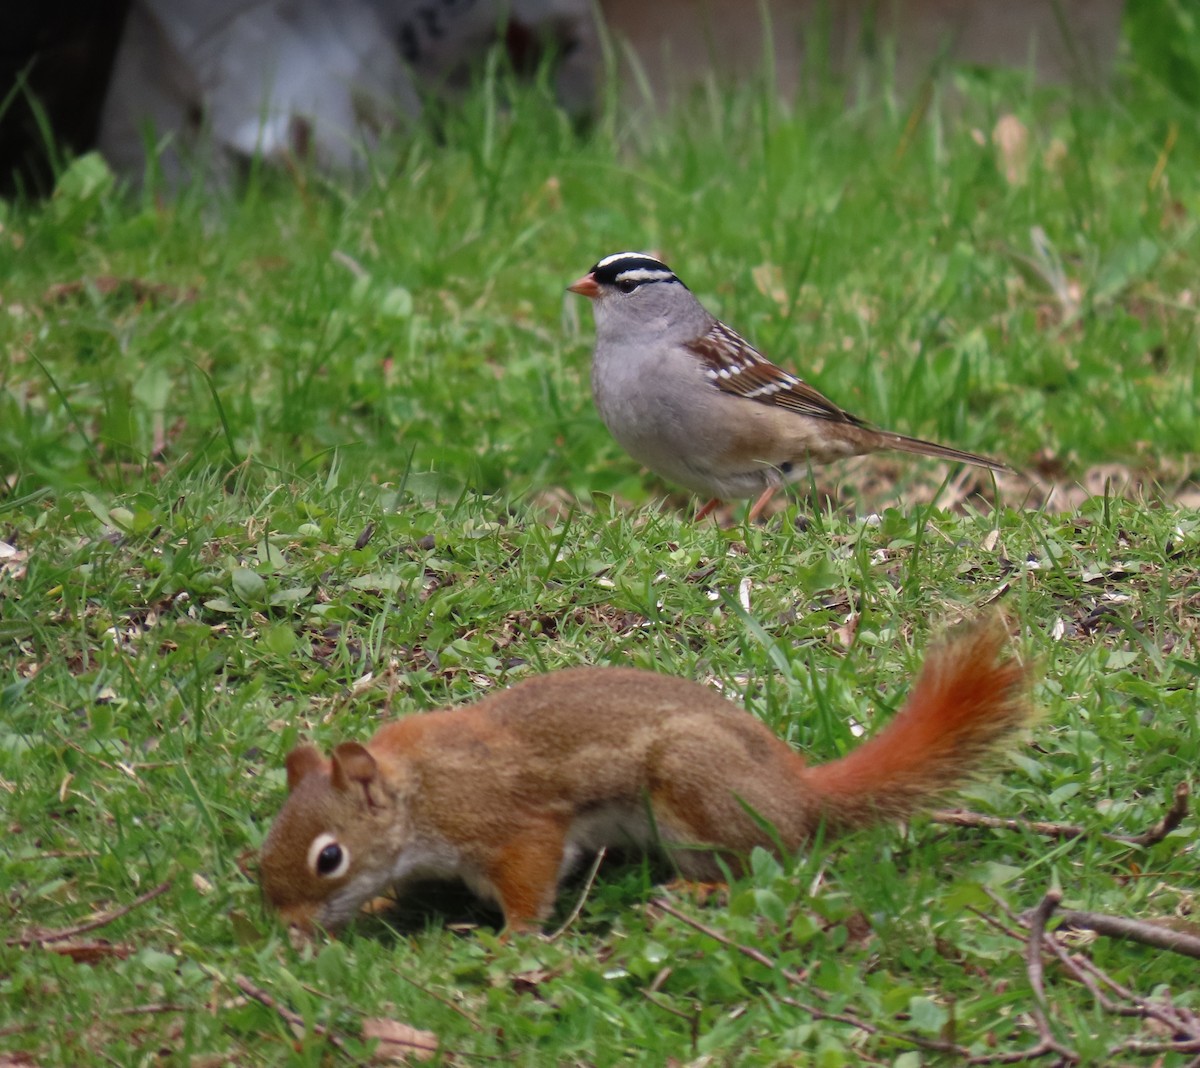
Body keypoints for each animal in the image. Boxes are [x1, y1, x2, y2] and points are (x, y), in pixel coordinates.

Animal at [262, 619, 1032, 926]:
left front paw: (512, 941)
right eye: (264, 853)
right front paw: (382, 906)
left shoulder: (511, 826)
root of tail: (799, 793)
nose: (289, 930)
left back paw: (694, 894)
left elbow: (530, 883)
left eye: (329, 858)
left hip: (693, 795)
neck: (416, 791)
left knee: (762, 867)